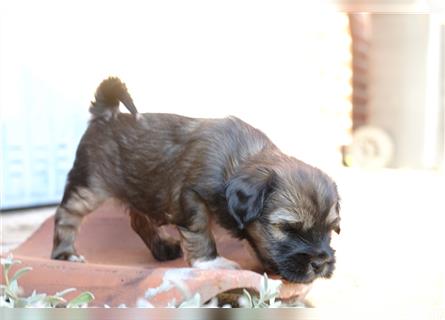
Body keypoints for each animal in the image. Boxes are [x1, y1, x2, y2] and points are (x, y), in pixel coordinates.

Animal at [51, 77, 340, 282]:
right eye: (288, 229)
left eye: (330, 229)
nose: (320, 264)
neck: (238, 161)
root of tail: (106, 115)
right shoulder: (190, 197)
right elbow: (200, 230)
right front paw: (211, 262)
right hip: (90, 185)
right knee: (67, 215)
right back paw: (66, 254)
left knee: (138, 219)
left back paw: (161, 247)